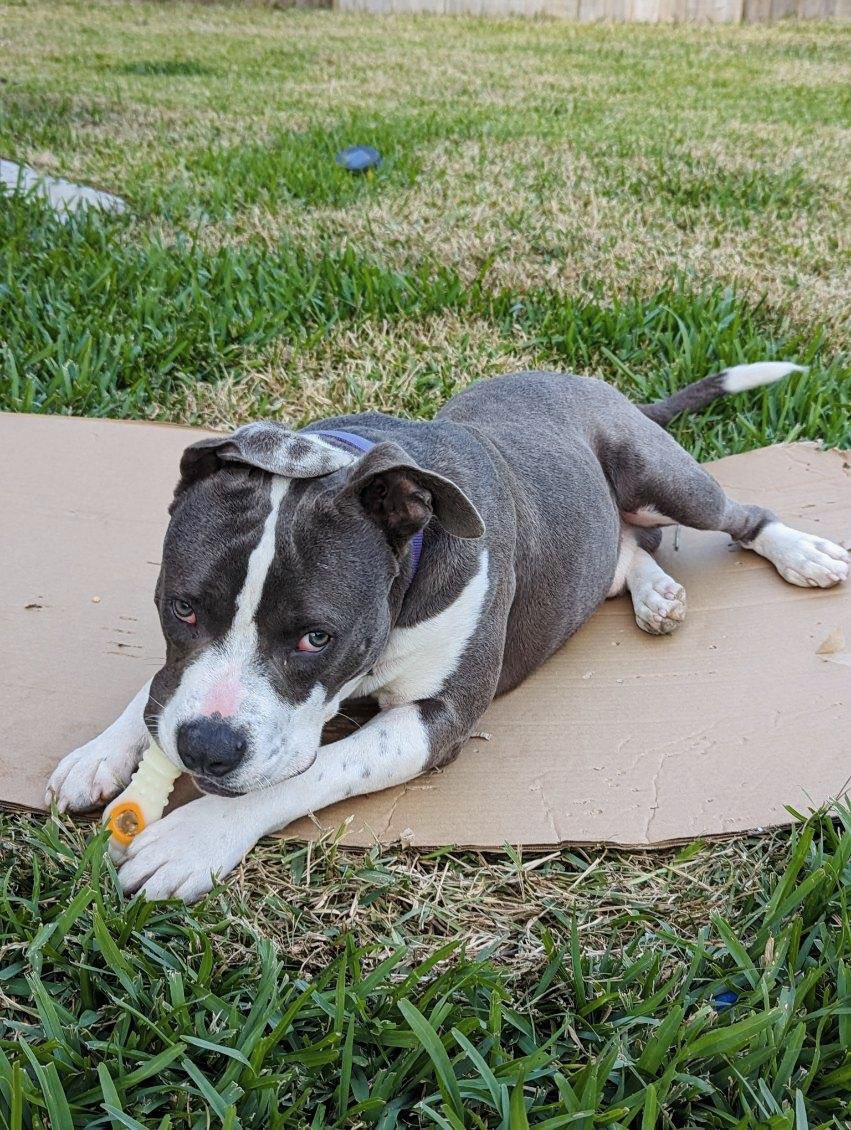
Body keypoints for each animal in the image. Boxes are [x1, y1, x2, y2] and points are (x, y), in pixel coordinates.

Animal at [48, 363, 849, 899]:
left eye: (316, 638)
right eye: (181, 607)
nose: (206, 748)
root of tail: (595, 385)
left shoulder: (438, 718)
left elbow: (314, 771)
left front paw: (196, 836)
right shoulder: (180, 668)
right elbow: (156, 689)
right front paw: (99, 752)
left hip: (661, 476)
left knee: (732, 516)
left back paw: (800, 552)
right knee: (628, 550)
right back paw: (656, 595)